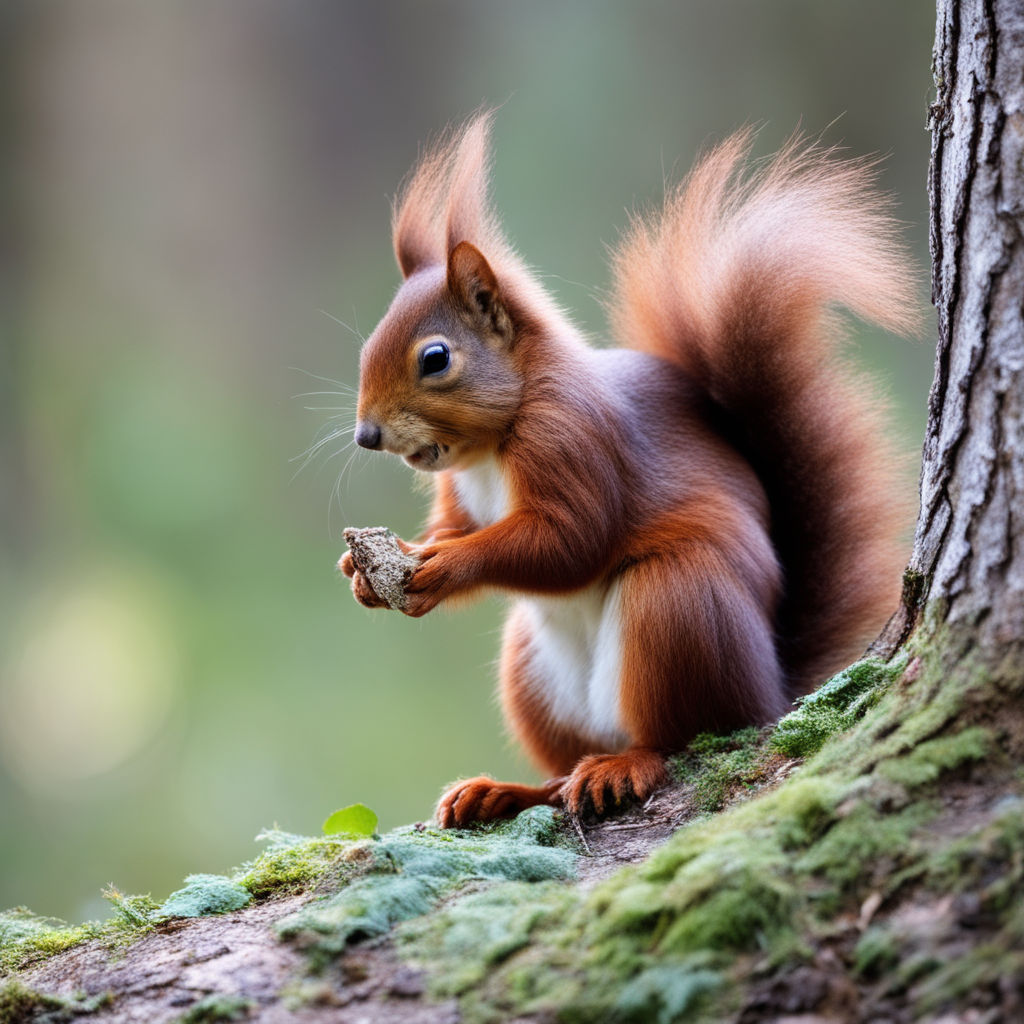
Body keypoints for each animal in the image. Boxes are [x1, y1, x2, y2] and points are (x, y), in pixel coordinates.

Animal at [335, 112, 921, 827]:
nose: (367, 435)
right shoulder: (461, 491)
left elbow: (569, 542)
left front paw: (444, 567)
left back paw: (623, 766)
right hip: (531, 670)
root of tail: (771, 690)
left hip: (676, 607)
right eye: (368, 344)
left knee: (675, 740)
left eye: (436, 358)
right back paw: (505, 793)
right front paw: (366, 571)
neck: (494, 445)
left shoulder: (573, 441)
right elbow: (458, 527)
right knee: (560, 774)